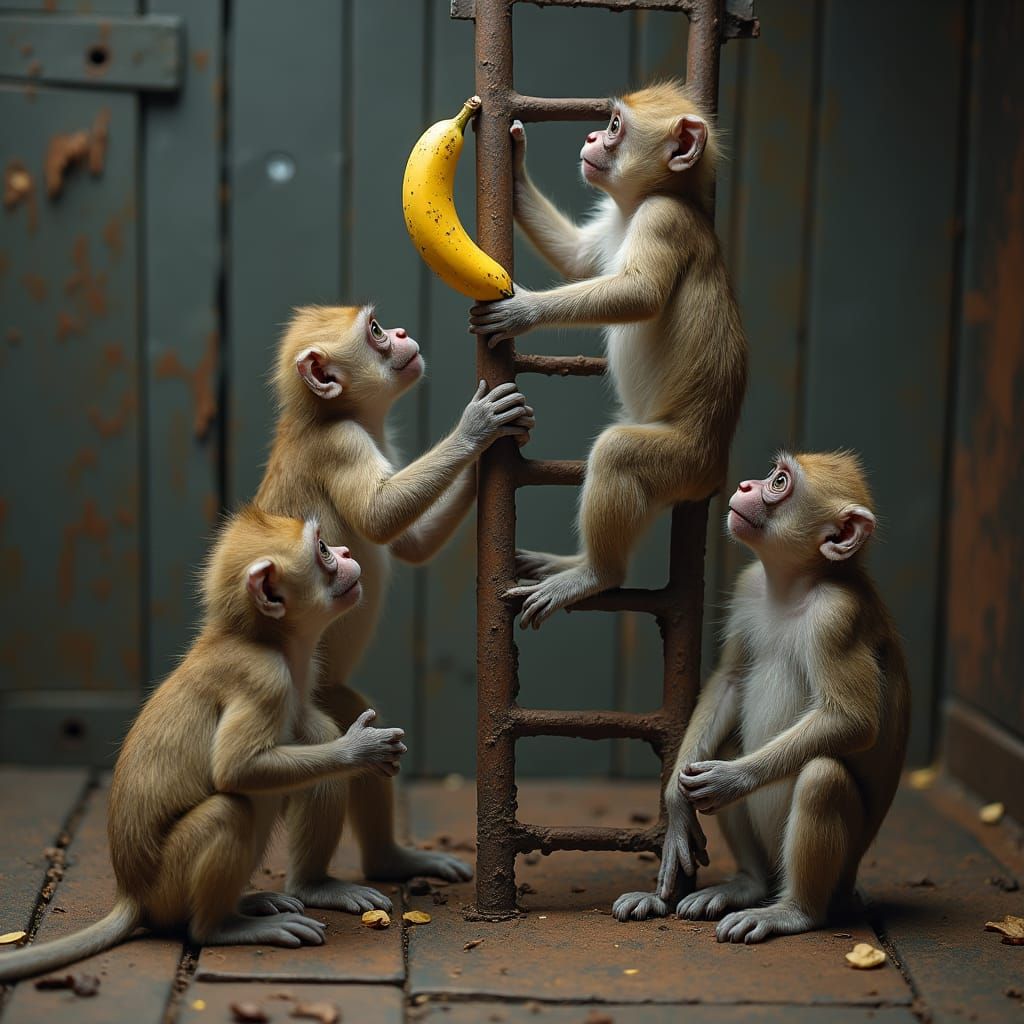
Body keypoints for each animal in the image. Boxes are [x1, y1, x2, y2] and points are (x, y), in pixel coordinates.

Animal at [0, 507, 410, 982]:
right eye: (323, 549)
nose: (345, 552)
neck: (260, 638)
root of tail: (132, 892)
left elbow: (309, 730)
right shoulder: (264, 677)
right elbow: (236, 768)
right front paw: (360, 751)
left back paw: (294, 892)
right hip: (168, 885)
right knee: (231, 807)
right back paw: (222, 926)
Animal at [254, 304, 534, 892]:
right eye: (377, 332)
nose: (403, 334)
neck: (323, 415)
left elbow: (411, 543)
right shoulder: (340, 442)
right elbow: (381, 518)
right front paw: (475, 429)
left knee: (354, 716)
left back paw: (390, 860)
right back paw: (314, 886)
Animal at [468, 80, 747, 628]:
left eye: (616, 126)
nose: (593, 136)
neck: (638, 204)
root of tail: (714, 469)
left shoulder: (664, 219)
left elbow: (639, 295)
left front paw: (523, 310)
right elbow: (577, 256)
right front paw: (514, 161)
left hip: (683, 461)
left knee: (618, 454)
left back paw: (596, 575)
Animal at [613, 452, 911, 943]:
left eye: (780, 483)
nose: (746, 486)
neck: (794, 588)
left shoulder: (838, 615)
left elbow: (853, 721)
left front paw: (731, 780)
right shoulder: (749, 584)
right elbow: (730, 680)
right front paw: (676, 802)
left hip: (837, 872)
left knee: (823, 778)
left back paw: (793, 912)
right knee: (732, 742)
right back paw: (747, 885)